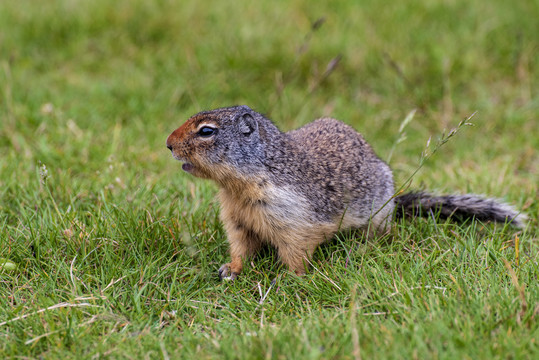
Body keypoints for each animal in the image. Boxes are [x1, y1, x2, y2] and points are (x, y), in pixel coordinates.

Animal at [166, 105, 528, 280]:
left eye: (207, 131)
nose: (168, 143)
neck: (237, 187)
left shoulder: (291, 215)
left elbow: (296, 250)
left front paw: (290, 279)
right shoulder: (236, 217)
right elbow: (241, 246)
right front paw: (230, 269)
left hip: (377, 215)